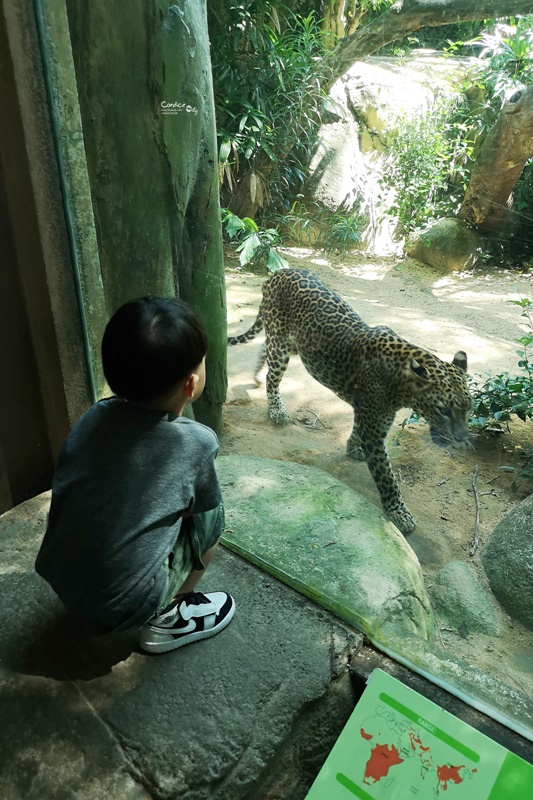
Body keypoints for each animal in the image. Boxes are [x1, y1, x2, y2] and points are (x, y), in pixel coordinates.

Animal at [227, 266, 472, 536]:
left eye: (469, 409)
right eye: (444, 410)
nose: (462, 438)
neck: (404, 382)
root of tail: (281, 271)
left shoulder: (369, 416)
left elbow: (357, 429)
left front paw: (354, 448)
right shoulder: (375, 431)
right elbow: (387, 477)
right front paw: (399, 512)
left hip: (296, 344)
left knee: (264, 350)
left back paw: (256, 374)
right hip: (282, 344)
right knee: (273, 374)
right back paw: (276, 410)